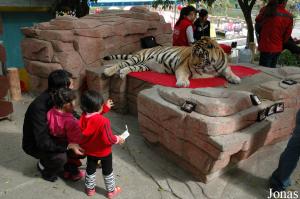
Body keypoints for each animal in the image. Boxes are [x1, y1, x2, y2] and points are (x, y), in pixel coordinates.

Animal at [103, 37, 241, 87]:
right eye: (192, 54)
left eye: (200, 54)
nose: (194, 63)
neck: (209, 66)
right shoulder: (183, 67)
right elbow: (182, 75)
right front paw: (183, 83)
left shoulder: (224, 67)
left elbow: (229, 72)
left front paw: (235, 78)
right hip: (139, 57)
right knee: (121, 63)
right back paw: (107, 71)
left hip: (143, 66)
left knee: (129, 67)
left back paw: (122, 73)